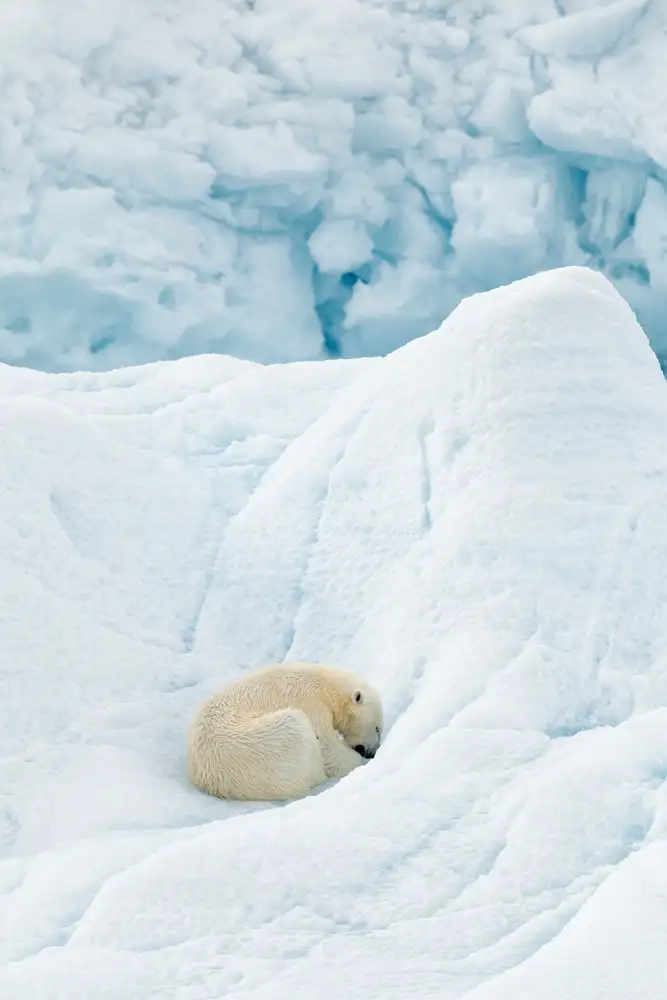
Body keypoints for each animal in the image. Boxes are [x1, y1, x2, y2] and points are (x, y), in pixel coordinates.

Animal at [186, 661, 383, 801]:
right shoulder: (308, 700)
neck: (325, 684)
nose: (371, 752)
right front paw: (356, 760)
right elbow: (327, 748)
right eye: (377, 728)